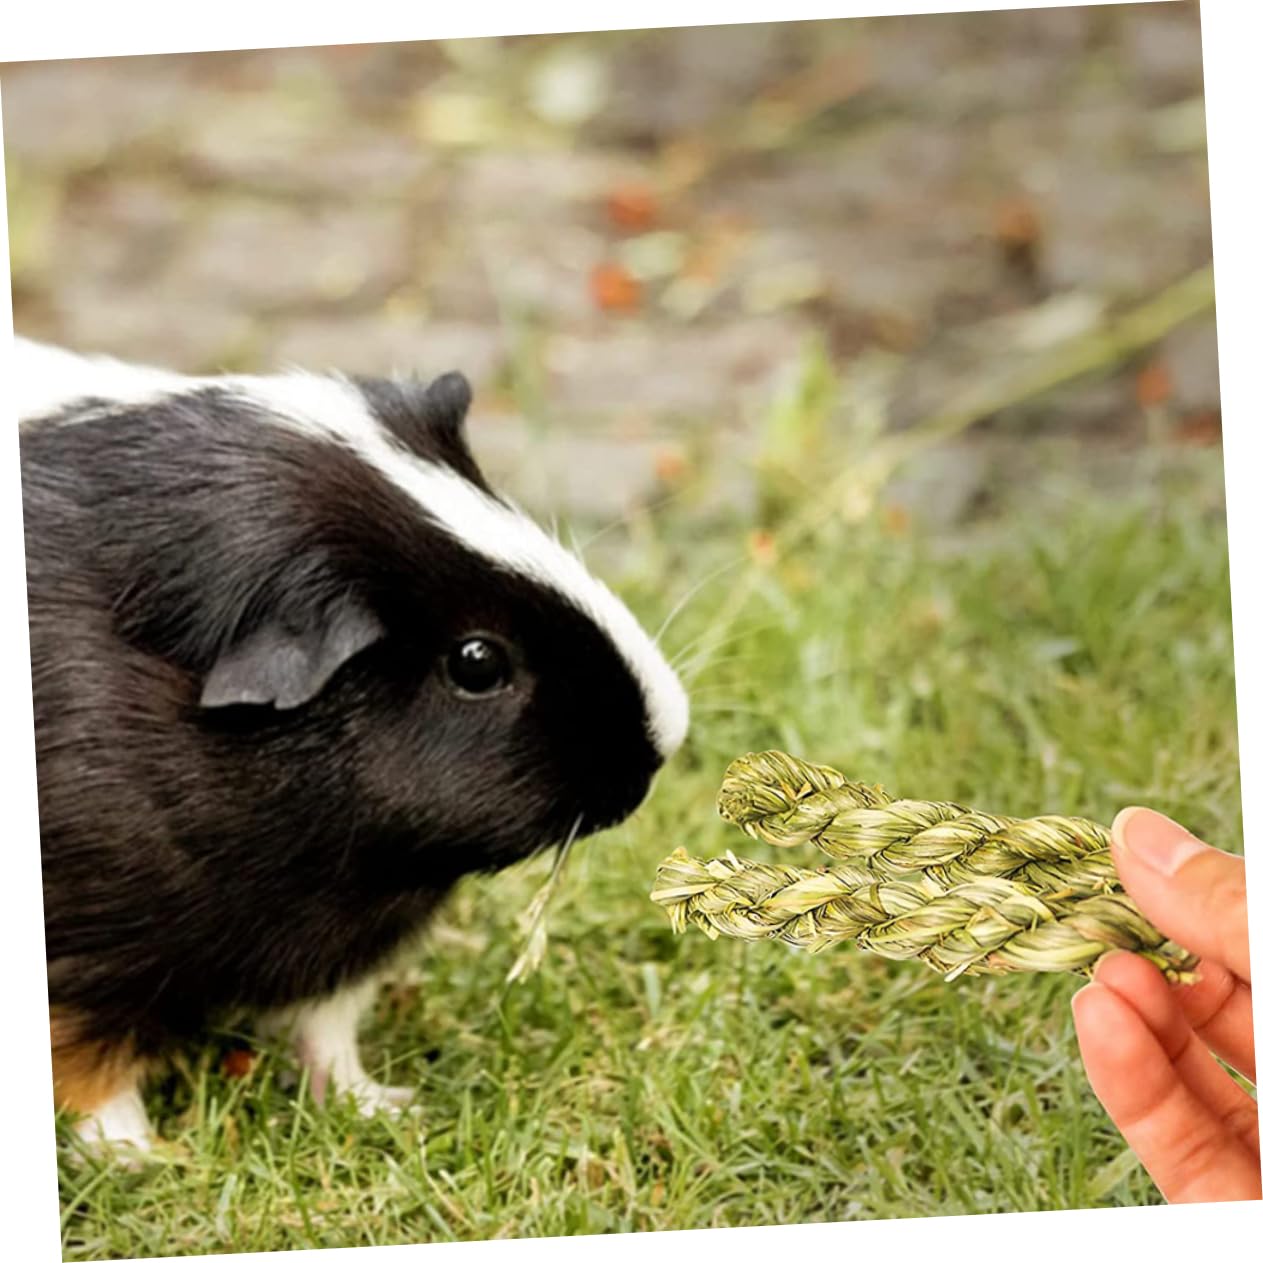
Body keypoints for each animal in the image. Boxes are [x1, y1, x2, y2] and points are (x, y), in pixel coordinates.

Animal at [16, 337, 689, 1154]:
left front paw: (385, 1109)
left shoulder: (339, 947)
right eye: (476, 662)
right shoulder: (83, 969)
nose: (666, 734)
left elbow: (326, 1035)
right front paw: (146, 1158)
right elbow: (93, 1079)